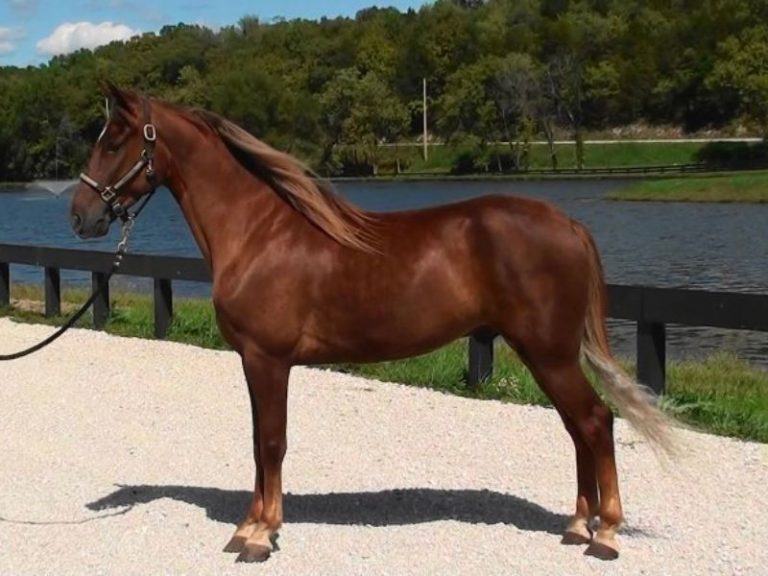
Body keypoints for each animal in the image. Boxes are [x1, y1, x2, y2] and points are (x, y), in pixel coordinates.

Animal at [69, 83, 674, 563]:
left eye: (114, 141)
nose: (80, 216)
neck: (258, 232)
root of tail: (568, 223)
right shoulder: (251, 361)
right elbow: (256, 441)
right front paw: (248, 525)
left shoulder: (269, 360)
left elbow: (272, 442)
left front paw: (261, 535)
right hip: (543, 355)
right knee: (578, 428)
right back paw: (577, 526)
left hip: (549, 353)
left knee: (594, 422)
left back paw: (606, 535)